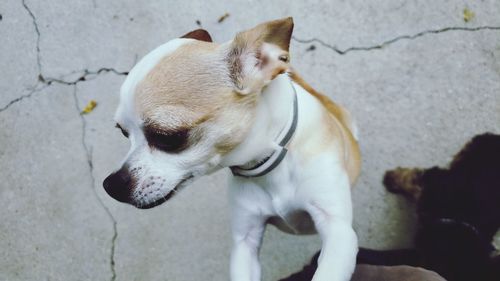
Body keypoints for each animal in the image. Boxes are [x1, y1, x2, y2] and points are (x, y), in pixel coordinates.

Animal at [102, 17, 360, 280]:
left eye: (168, 137)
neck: (272, 159)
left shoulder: (338, 233)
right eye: (123, 133)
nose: (110, 185)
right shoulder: (245, 242)